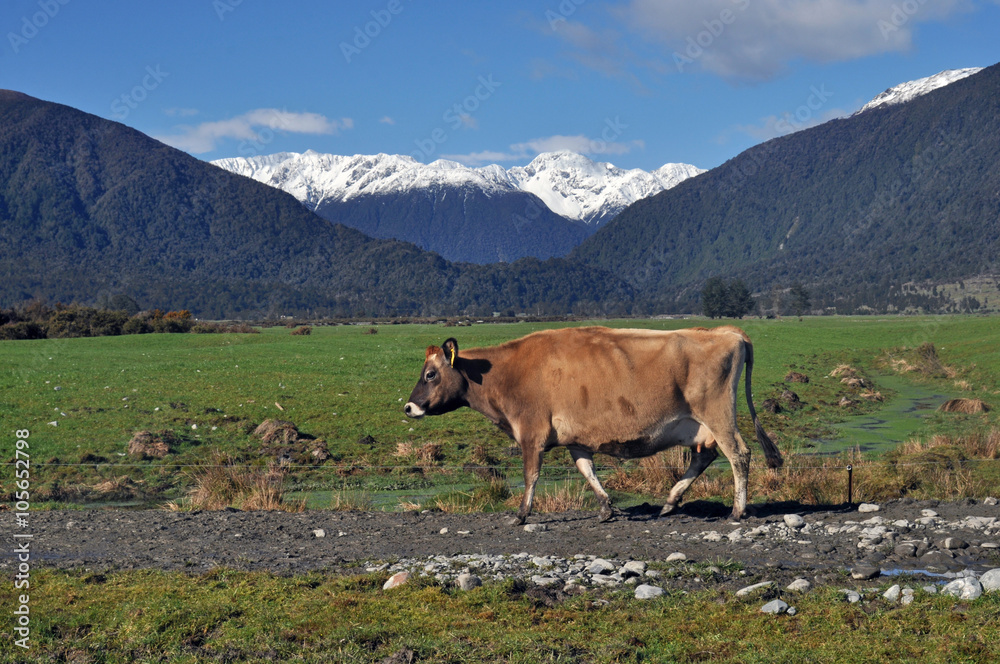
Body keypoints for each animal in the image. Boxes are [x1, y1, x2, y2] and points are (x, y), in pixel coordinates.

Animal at [404, 326, 780, 524]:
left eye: (430, 374)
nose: (409, 407)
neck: (506, 372)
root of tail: (725, 331)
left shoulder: (531, 431)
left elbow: (531, 475)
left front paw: (522, 514)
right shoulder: (575, 437)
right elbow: (587, 470)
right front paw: (606, 508)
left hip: (718, 416)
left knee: (739, 455)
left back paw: (737, 510)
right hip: (699, 427)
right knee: (703, 457)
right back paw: (670, 502)